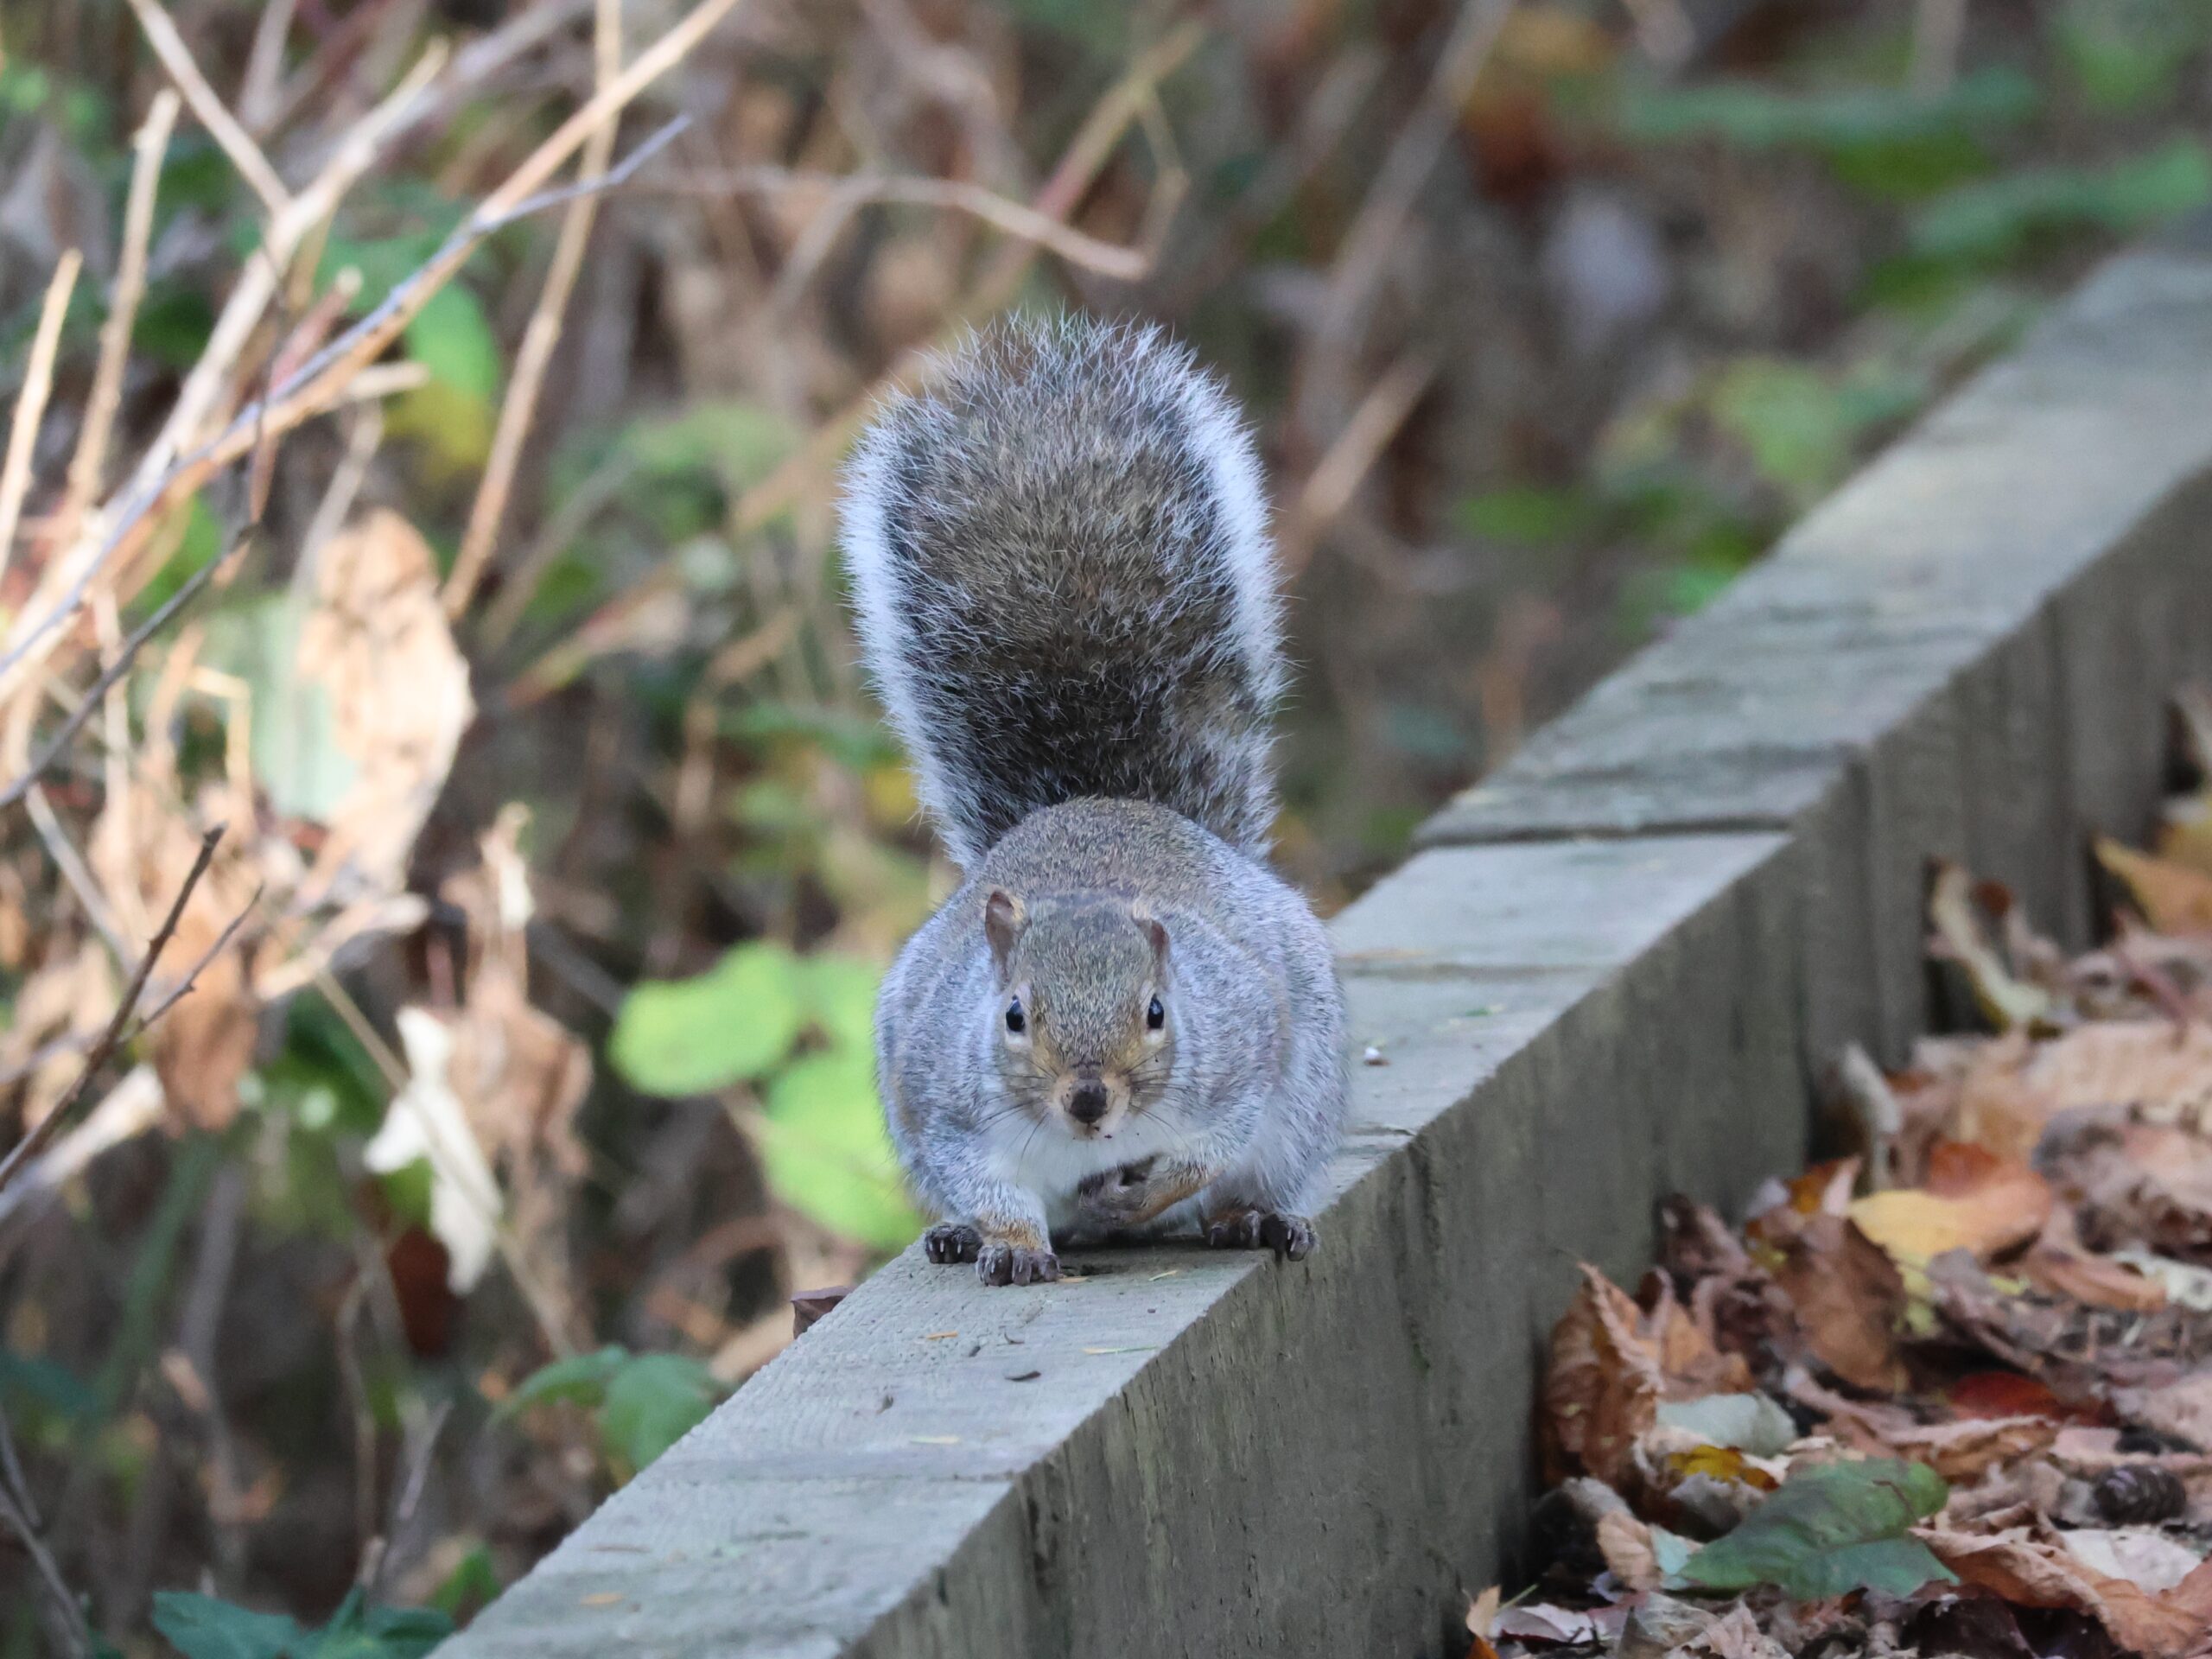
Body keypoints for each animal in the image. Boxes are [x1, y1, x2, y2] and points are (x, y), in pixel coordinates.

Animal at [839, 315, 1348, 1287]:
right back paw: (964, 1234)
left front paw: (1143, 1191)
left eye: (1157, 1012)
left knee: (1240, 1182)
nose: (1086, 1098)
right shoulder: (948, 1107)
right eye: (1012, 1015)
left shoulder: (1240, 1053)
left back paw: (1250, 1218)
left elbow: (1204, 1149)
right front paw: (1008, 1242)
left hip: (1304, 1089)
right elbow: (990, 1185)